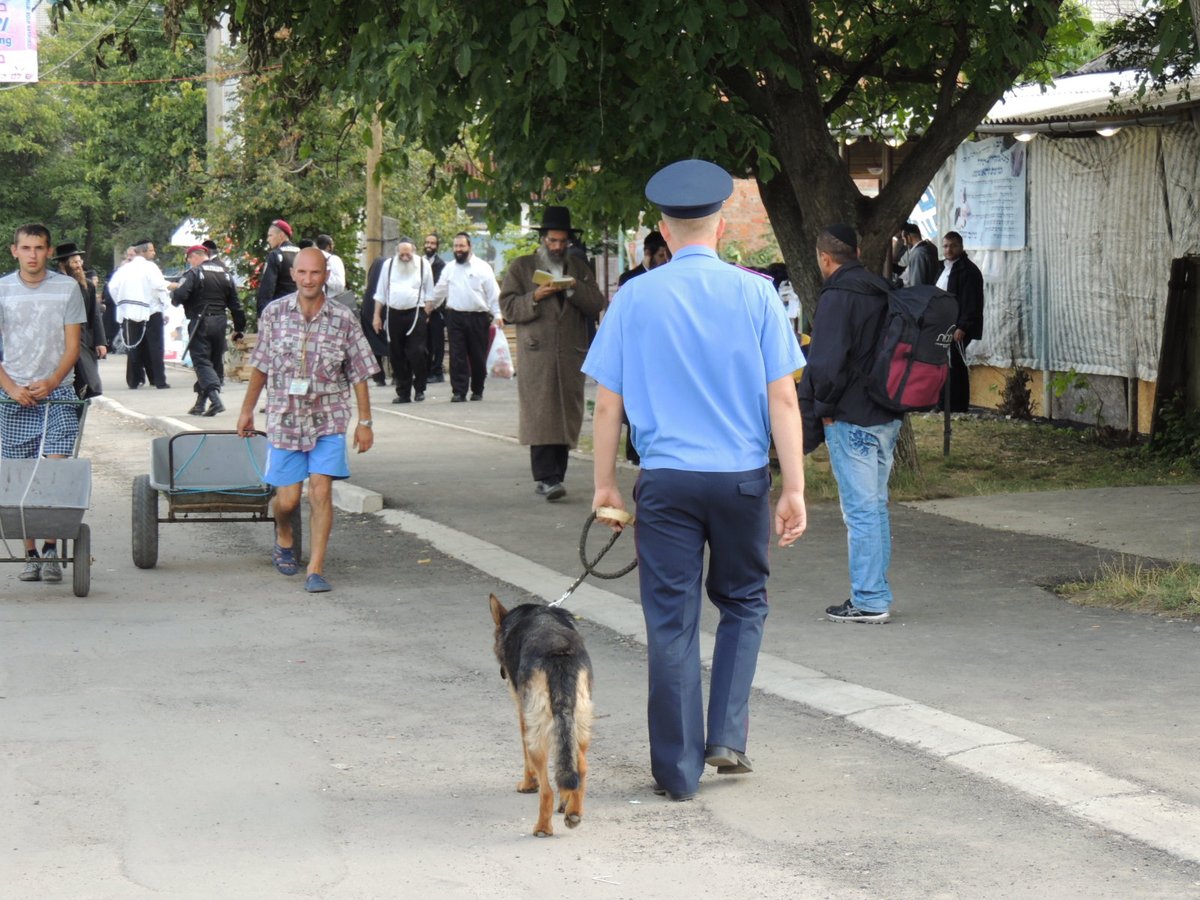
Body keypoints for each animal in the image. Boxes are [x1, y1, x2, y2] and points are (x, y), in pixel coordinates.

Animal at [487, 595, 595, 844]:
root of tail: (558, 650)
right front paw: (565, 802)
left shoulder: (523, 715)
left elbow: (525, 757)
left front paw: (528, 784)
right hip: (579, 722)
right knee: (581, 768)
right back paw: (573, 811)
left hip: (537, 732)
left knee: (547, 790)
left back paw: (543, 827)